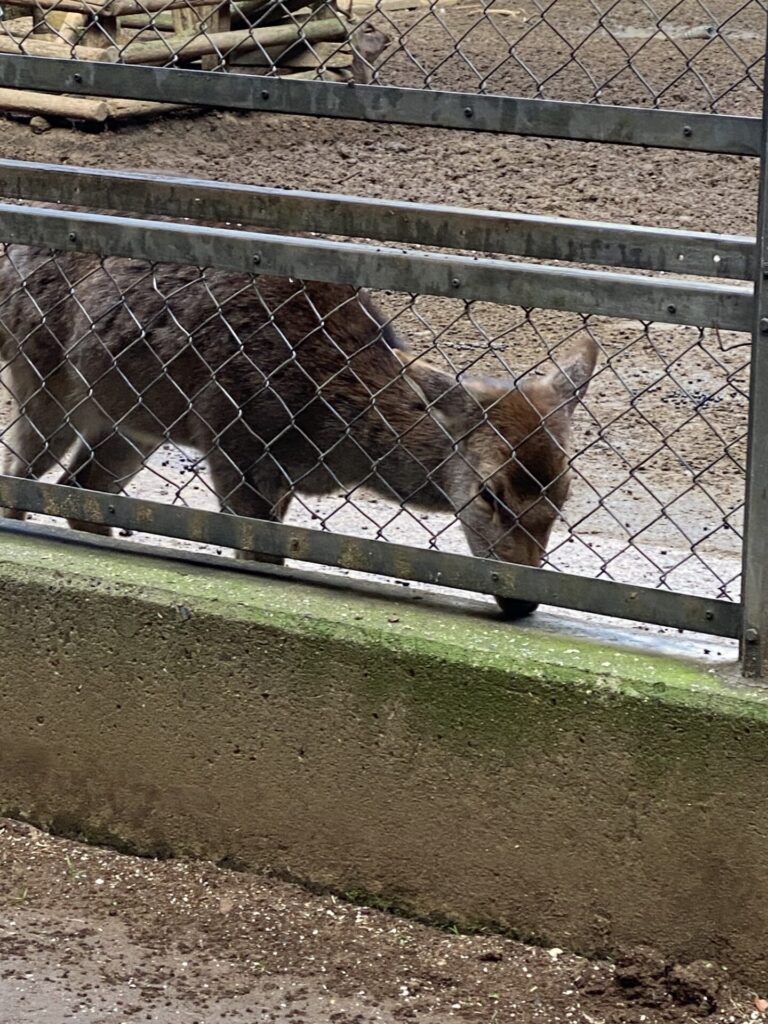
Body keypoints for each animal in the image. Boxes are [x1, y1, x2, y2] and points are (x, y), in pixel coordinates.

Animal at [0, 243, 598, 618]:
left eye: (565, 494)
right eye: (489, 493)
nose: (523, 598)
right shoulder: (234, 441)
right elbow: (259, 555)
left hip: (132, 424)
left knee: (81, 487)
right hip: (42, 380)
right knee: (22, 474)